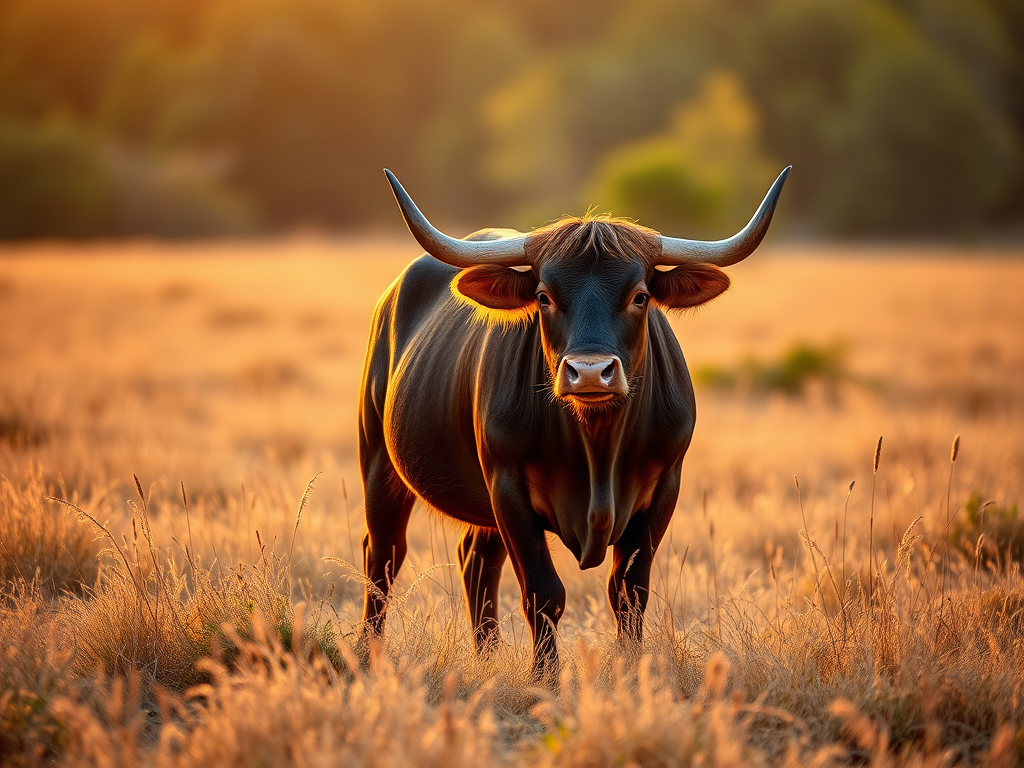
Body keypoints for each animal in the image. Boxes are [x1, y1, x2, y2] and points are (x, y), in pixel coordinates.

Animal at [358, 166, 790, 675]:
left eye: (640, 296)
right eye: (544, 296)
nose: (589, 371)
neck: (596, 448)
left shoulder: (665, 486)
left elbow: (629, 591)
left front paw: (630, 668)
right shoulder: (508, 487)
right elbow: (543, 593)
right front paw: (545, 677)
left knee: (475, 558)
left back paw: (487, 656)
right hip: (379, 462)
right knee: (383, 555)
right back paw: (368, 653)